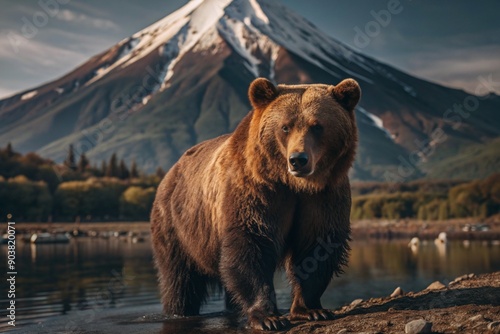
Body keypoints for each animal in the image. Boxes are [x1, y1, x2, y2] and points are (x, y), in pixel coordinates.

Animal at [150, 77, 362, 330]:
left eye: (317, 126)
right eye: (285, 126)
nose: (298, 160)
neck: (295, 185)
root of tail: (170, 173)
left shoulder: (324, 196)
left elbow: (317, 246)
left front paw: (311, 310)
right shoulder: (257, 190)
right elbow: (251, 244)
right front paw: (268, 318)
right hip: (179, 226)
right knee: (180, 280)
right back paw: (179, 310)